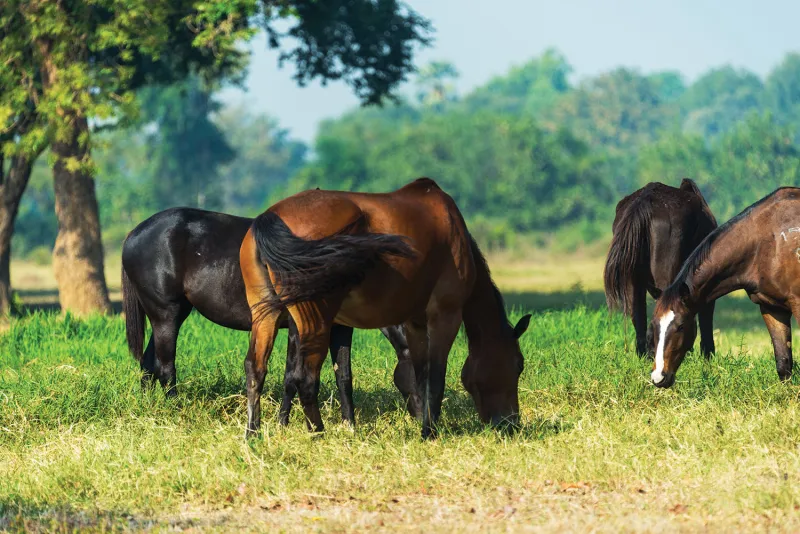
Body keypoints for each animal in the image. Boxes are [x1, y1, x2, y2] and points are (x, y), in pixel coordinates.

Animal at [120, 207, 418, 426]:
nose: (424, 420)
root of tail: (134, 233)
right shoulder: (300, 327)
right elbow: (293, 376)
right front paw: (284, 423)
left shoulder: (339, 328)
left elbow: (342, 375)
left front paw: (350, 426)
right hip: (166, 315)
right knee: (165, 367)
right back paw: (175, 410)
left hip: (172, 314)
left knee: (148, 364)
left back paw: (150, 408)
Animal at [239, 178, 532, 439]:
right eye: (518, 364)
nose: (510, 423)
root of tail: (271, 217)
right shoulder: (444, 317)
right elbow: (436, 378)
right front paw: (430, 433)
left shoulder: (415, 323)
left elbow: (421, 375)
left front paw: (425, 426)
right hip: (316, 322)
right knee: (305, 378)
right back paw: (318, 434)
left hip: (266, 316)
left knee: (256, 369)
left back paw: (253, 435)